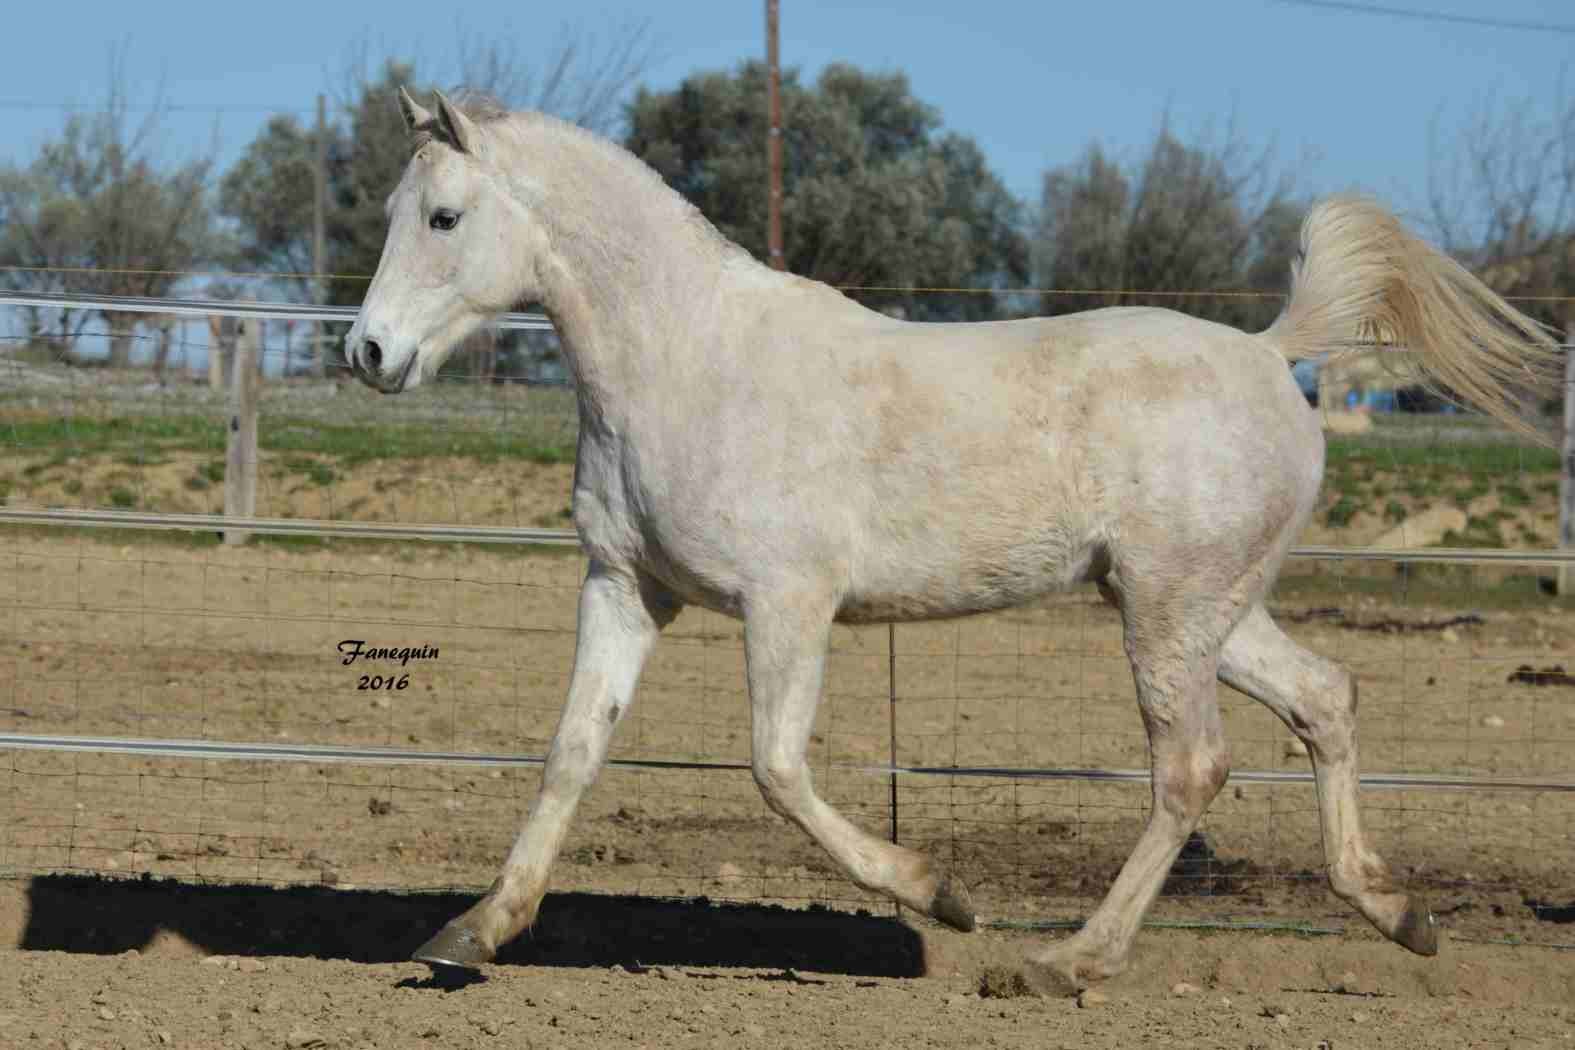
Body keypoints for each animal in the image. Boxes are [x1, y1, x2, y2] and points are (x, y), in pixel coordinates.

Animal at [344, 90, 1562, 994]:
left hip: (1168, 616)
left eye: (442, 217)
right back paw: (1398, 913)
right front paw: (472, 934)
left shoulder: (789, 603)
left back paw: (1066, 962)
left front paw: (940, 897)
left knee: (1192, 767)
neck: (687, 361)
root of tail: (1275, 354)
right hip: (1210, 611)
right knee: (1325, 700)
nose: (368, 354)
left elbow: (776, 768)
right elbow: (571, 754)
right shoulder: (626, 587)